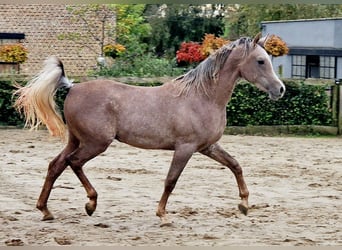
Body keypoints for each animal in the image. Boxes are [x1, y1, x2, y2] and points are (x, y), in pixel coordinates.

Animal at [13, 33, 284, 227]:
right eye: (260, 61)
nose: (280, 89)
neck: (202, 97)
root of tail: (73, 87)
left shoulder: (207, 147)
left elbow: (235, 165)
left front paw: (244, 205)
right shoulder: (185, 148)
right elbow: (171, 181)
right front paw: (163, 215)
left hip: (76, 140)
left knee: (56, 165)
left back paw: (46, 211)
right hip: (96, 143)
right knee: (74, 162)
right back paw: (91, 204)